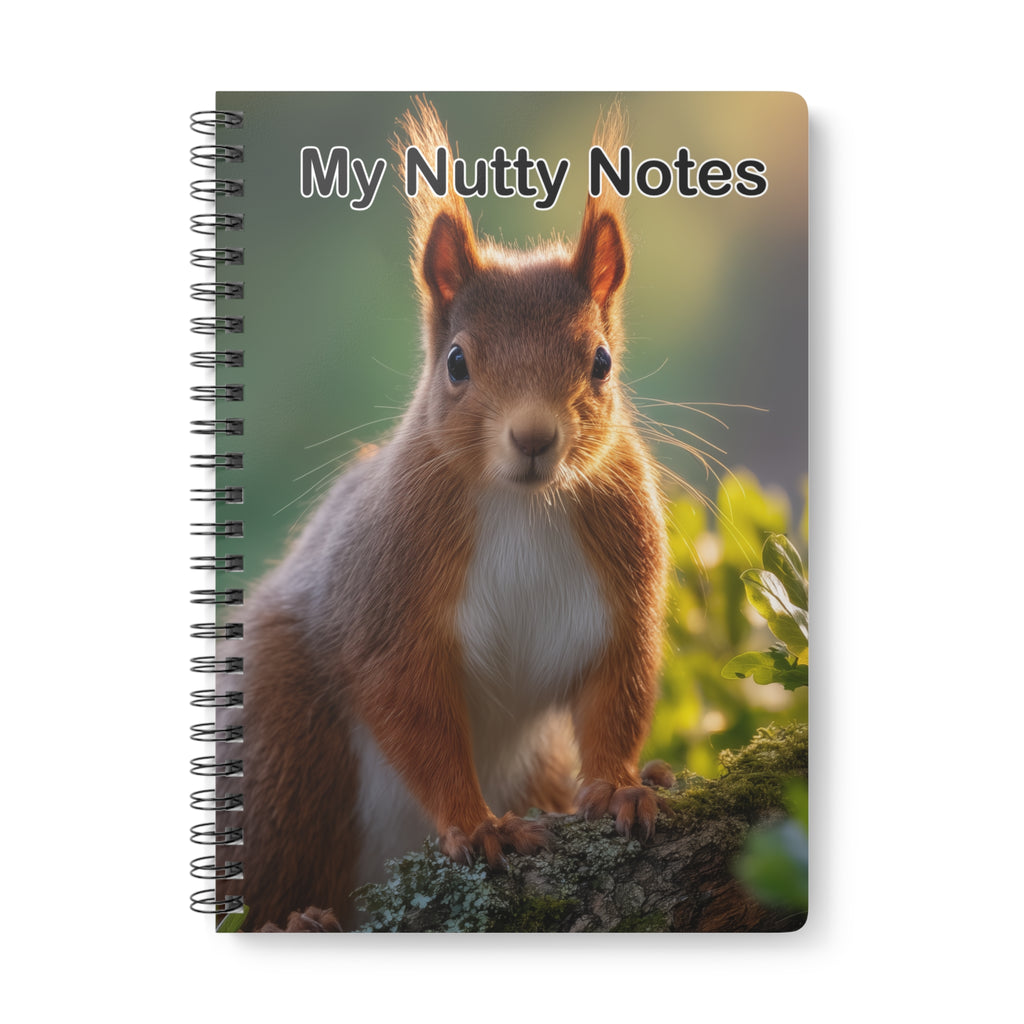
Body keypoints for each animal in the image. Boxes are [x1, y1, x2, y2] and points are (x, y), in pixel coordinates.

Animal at [224, 99, 670, 931]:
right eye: (457, 363)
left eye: (601, 362)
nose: (534, 438)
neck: (523, 506)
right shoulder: (389, 592)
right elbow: (413, 711)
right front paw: (478, 825)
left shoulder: (622, 576)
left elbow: (617, 688)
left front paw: (622, 785)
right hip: (286, 748)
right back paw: (300, 917)